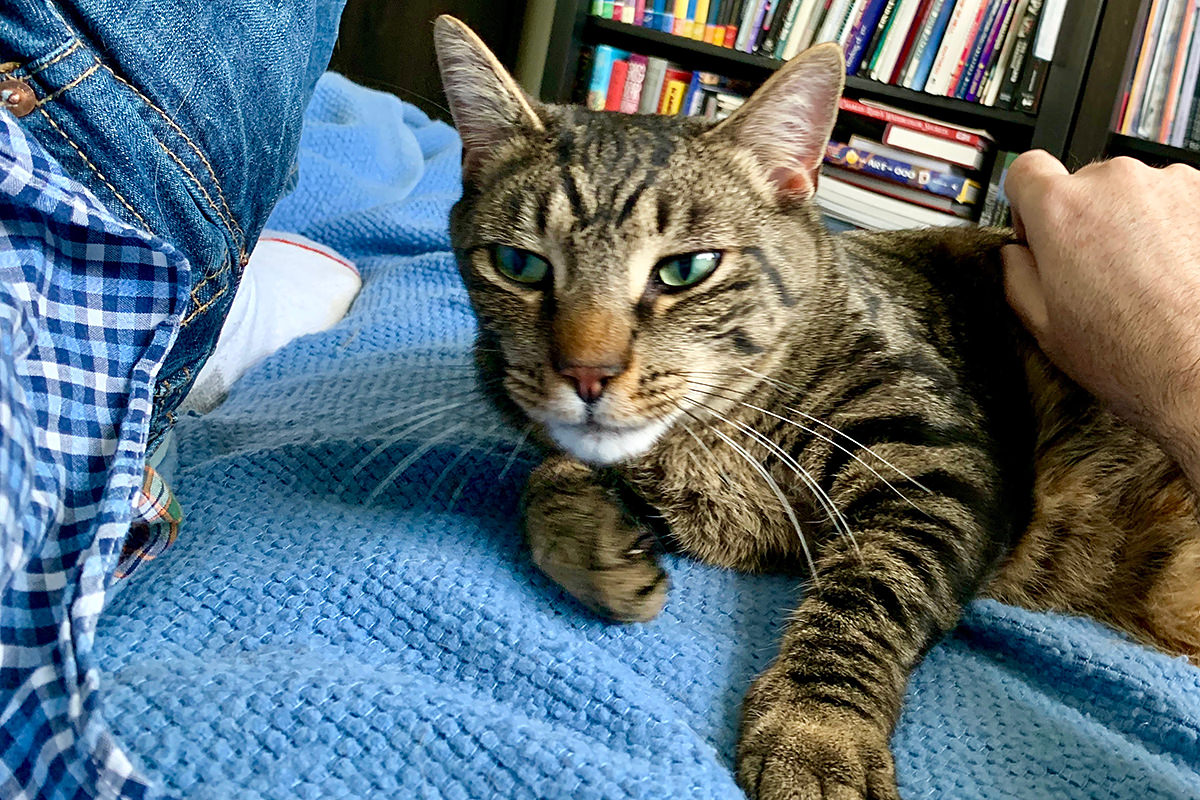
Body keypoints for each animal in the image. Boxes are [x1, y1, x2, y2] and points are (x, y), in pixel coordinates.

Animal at [432, 14, 1200, 800]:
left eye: (686, 269)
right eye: (519, 265)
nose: (586, 373)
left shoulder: (943, 469)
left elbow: (867, 597)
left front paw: (818, 733)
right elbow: (545, 479)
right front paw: (593, 541)